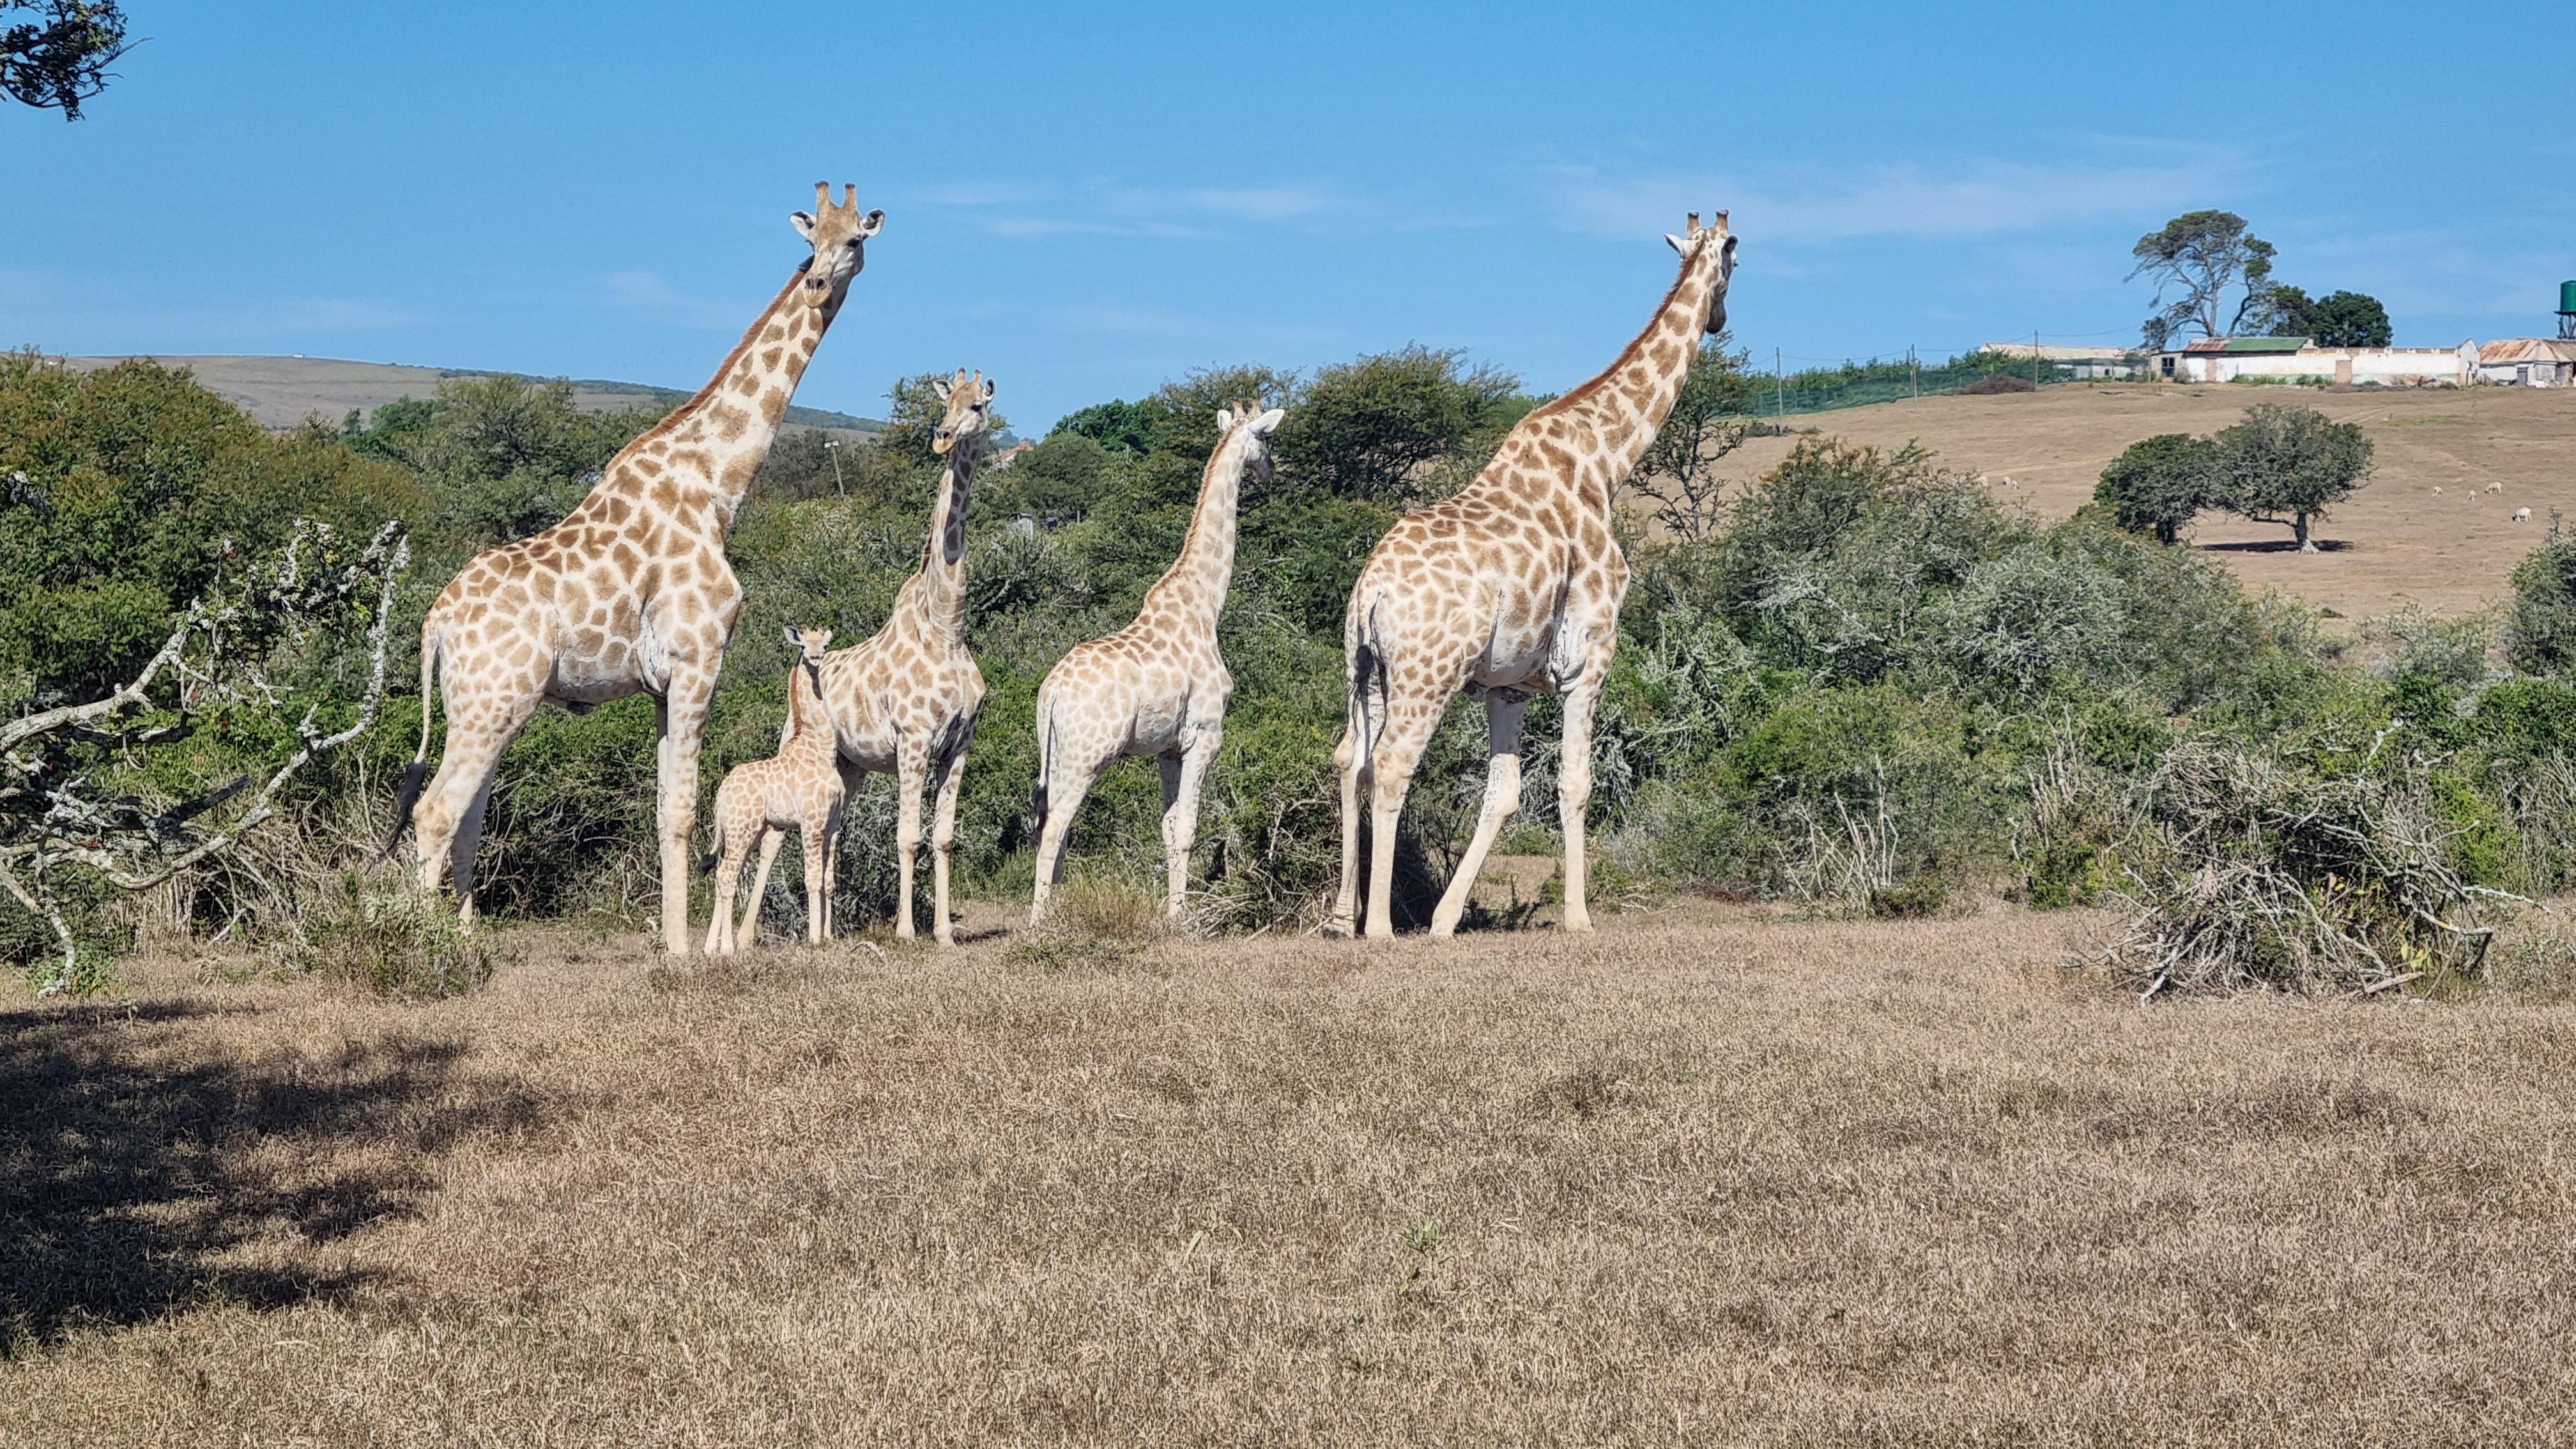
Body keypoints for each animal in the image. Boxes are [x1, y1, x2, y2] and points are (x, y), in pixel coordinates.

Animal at [701, 626, 844, 953]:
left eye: (825, 645)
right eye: (803, 646)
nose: (815, 658)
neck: (821, 750)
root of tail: (721, 794)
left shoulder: (833, 825)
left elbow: (829, 882)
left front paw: (829, 936)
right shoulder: (811, 823)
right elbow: (812, 879)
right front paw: (814, 939)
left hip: (745, 832)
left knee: (723, 874)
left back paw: (710, 947)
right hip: (742, 829)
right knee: (727, 875)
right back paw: (727, 948)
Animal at [811, 370, 996, 945]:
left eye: (978, 405)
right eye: (946, 401)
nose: (941, 437)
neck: (947, 627)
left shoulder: (958, 746)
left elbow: (943, 838)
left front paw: (945, 933)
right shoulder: (913, 743)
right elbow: (908, 836)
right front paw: (907, 931)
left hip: (850, 766)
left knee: (833, 833)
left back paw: (828, 934)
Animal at [1027, 402, 1286, 925]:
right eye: (1267, 439)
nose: (1273, 471)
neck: (1206, 605)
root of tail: (1051, 693)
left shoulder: (1168, 748)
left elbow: (1167, 830)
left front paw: (1173, 910)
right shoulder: (1206, 735)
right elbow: (1187, 829)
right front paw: (1182, 918)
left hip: (1055, 753)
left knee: (1049, 823)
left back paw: (1056, 912)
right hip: (1086, 757)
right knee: (1053, 829)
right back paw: (1038, 923)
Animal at [1327, 211, 1736, 939]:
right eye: (1736, 266)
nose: (1719, 320)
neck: (1607, 462)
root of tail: (1371, 592)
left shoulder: (1508, 683)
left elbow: (1504, 794)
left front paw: (1446, 918)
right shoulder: (1591, 657)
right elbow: (1575, 784)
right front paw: (1578, 916)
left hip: (1364, 668)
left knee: (1351, 760)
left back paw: (1341, 918)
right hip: (1427, 674)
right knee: (1394, 765)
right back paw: (1378, 925)